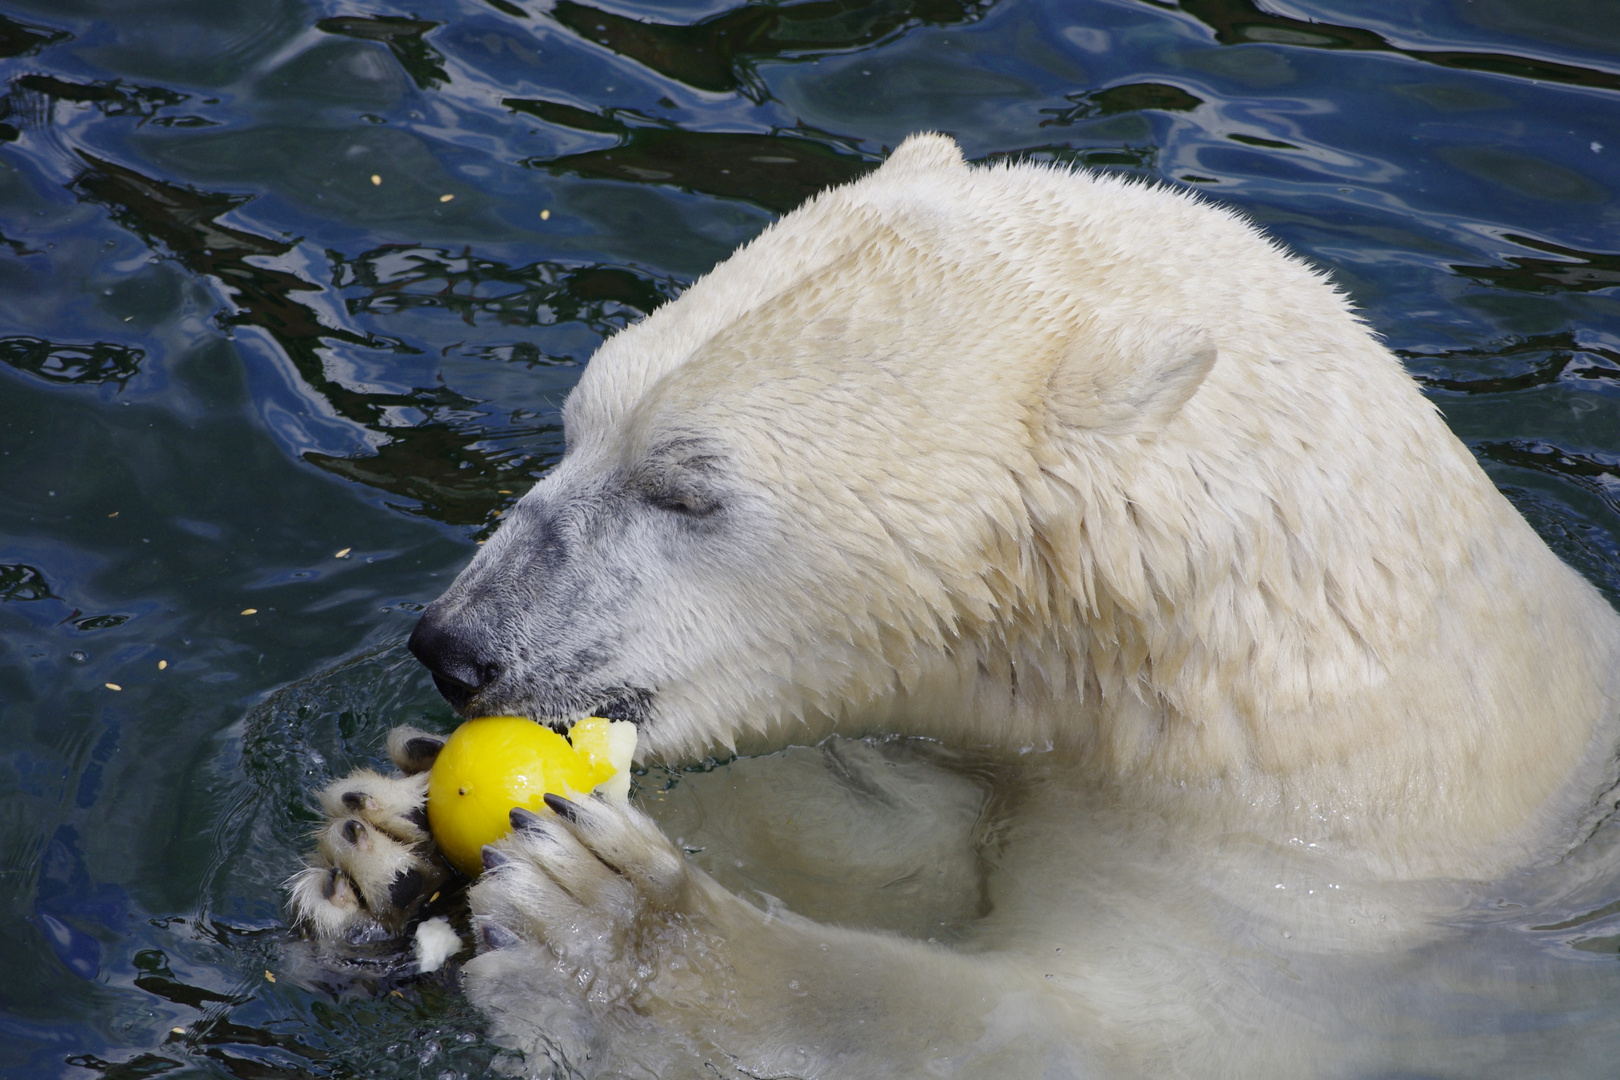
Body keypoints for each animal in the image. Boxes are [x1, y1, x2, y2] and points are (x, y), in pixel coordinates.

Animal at [291, 137, 1620, 1080]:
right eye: (576, 425)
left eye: (684, 488)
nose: (456, 645)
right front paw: (386, 848)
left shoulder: (1312, 895)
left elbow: (1094, 1037)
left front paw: (617, 924)